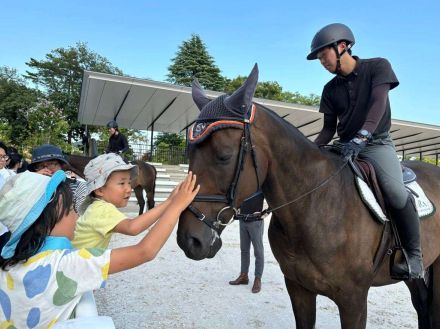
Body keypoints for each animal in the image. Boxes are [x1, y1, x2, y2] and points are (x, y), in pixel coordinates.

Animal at [175, 64, 440, 328]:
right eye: (190, 153)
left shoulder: (354, 300)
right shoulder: (299, 288)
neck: (314, 206)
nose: (189, 241)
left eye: (224, 155)